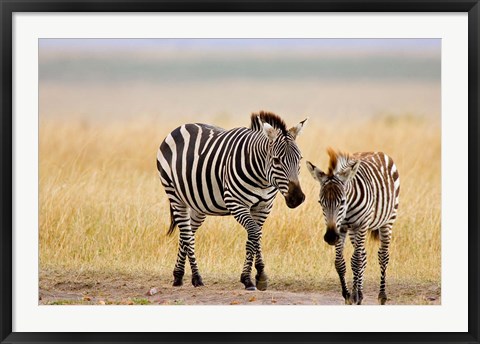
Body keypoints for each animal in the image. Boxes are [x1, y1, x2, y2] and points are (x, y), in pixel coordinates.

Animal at [157, 112, 308, 290]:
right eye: (276, 160)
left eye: (300, 159)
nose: (296, 198)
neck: (262, 179)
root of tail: (181, 126)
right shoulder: (236, 203)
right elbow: (254, 234)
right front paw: (248, 279)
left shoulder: (264, 207)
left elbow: (256, 237)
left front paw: (259, 276)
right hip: (175, 195)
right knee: (187, 235)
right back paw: (196, 277)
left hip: (198, 204)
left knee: (186, 234)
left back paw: (178, 275)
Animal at [306, 148, 400, 304]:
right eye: (320, 202)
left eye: (342, 201)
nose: (330, 237)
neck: (347, 208)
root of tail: (376, 151)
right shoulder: (341, 227)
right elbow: (340, 262)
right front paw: (348, 295)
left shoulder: (361, 224)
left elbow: (356, 261)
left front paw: (355, 294)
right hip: (352, 231)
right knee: (363, 255)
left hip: (387, 220)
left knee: (382, 256)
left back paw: (382, 296)